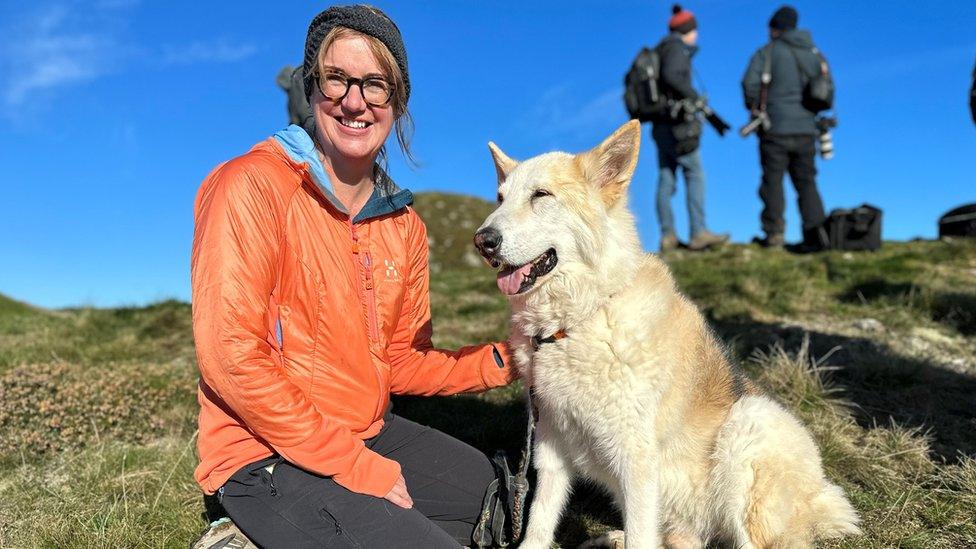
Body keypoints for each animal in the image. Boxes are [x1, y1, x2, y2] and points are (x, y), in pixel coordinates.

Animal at [474, 121, 860, 548]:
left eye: (541, 195)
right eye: (500, 198)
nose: (482, 241)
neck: (580, 319)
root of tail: (823, 496)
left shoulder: (636, 461)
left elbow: (640, 534)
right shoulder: (552, 447)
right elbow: (539, 523)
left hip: (749, 427)